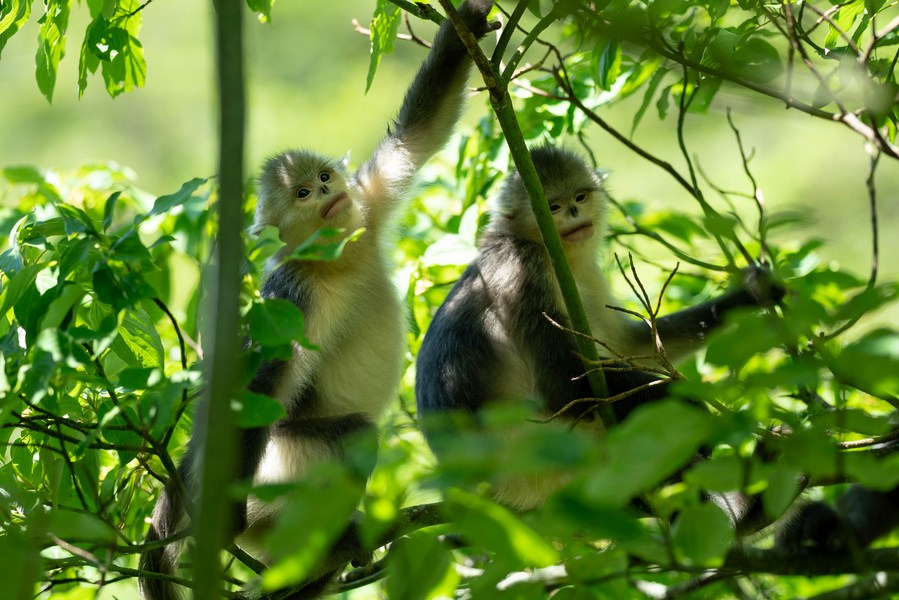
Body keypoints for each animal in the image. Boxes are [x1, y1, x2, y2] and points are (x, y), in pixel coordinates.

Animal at [139, 2, 500, 596]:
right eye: (304, 193)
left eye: (327, 178)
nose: (329, 195)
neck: (337, 263)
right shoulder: (293, 295)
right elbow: (259, 380)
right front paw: (223, 519)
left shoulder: (368, 204)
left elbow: (420, 128)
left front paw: (471, 16)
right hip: (282, 472)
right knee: (352, 433)